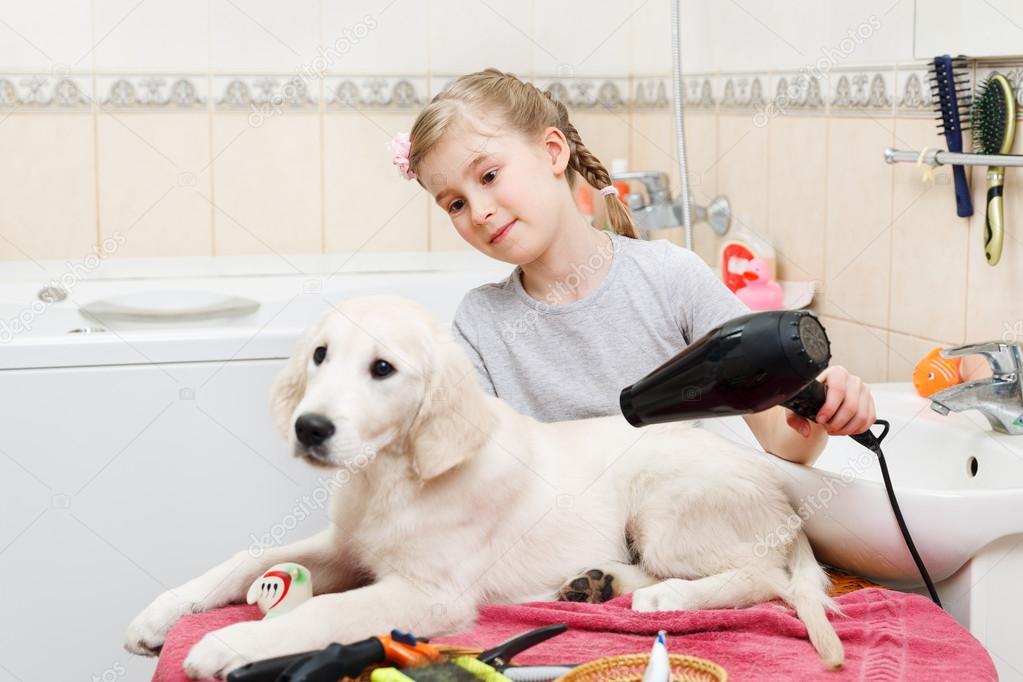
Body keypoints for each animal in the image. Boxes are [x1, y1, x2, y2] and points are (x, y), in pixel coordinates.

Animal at [123, 294, 842, 678]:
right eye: (321, 356)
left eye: (382, 369)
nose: (310, 427)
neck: (392, 477)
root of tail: (784, 505)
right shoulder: (346, 545)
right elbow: (251, 557)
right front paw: (160, 614)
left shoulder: (426, 594)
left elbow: (325, 612)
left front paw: (228, 644)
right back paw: (594, 583)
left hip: (667, 511)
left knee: (766, 581)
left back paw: (663, 599)